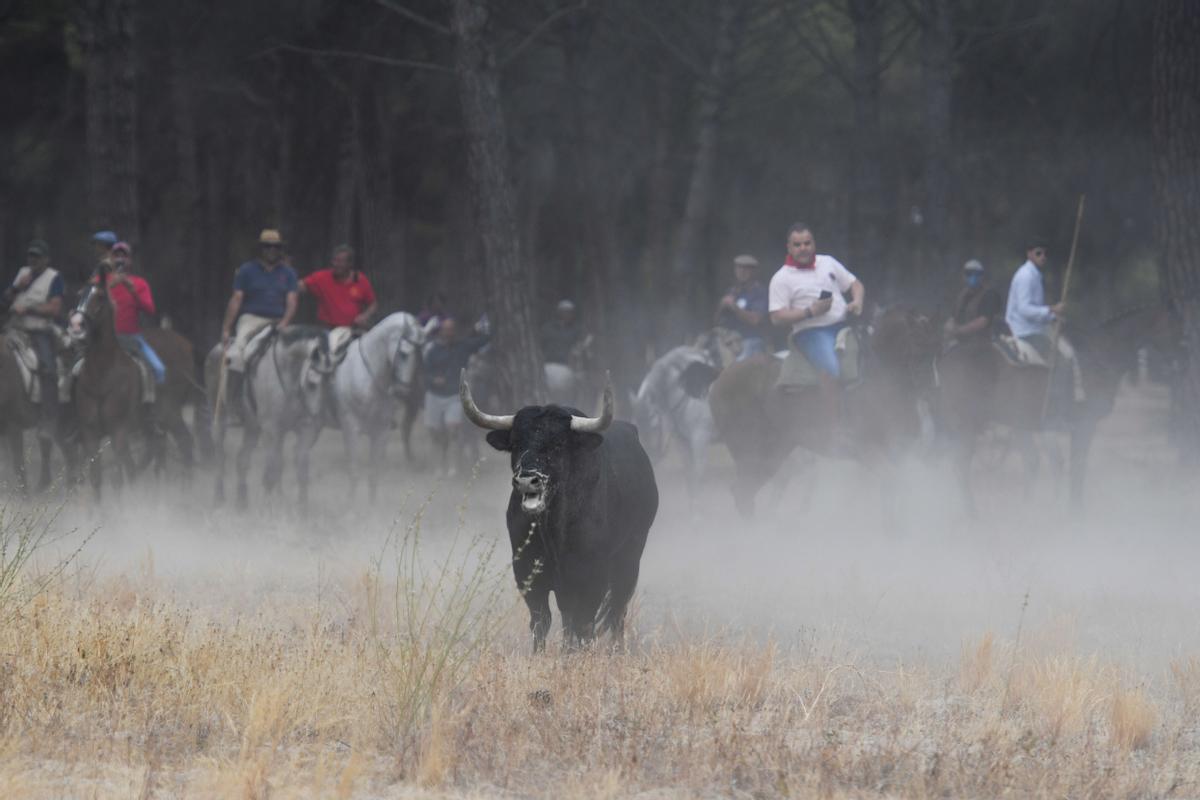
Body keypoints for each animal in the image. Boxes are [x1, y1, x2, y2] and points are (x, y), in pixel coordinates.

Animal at [328, 311, 427, 501]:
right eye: (403, 353)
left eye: (419, 355)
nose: (403, 391)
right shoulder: (351, 428)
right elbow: (354, 472)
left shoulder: (381, 431)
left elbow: (374, 474)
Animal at [458, 369, 662, 652]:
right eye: (515, 443)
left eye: (557, 445)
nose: (526, 480)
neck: (554, 532)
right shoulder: (527, 572)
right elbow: (542, 621)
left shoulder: (591, 575)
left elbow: (583, 622)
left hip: (630, 558)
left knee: (617, 610)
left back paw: (617, 651)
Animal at [705, 309, 940, 515]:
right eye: (917, 341)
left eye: (935, 345)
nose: (932, 387)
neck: (879, 379)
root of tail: (718, 382)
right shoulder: (868, 450)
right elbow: (894, 483)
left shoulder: (901, 452)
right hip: (752, 453)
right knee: (744, 492)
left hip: (775, 453)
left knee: (748, 491)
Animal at [936, 303, 1171, 510]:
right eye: (1174, 327)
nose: (1177, 361)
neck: (1100, 352)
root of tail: (944, 358)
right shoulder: (1084, 424)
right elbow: (1077, 465)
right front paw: (1075, 509)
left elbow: (1061, 463)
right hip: (968, 422)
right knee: (961, 465)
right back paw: (972, 512)